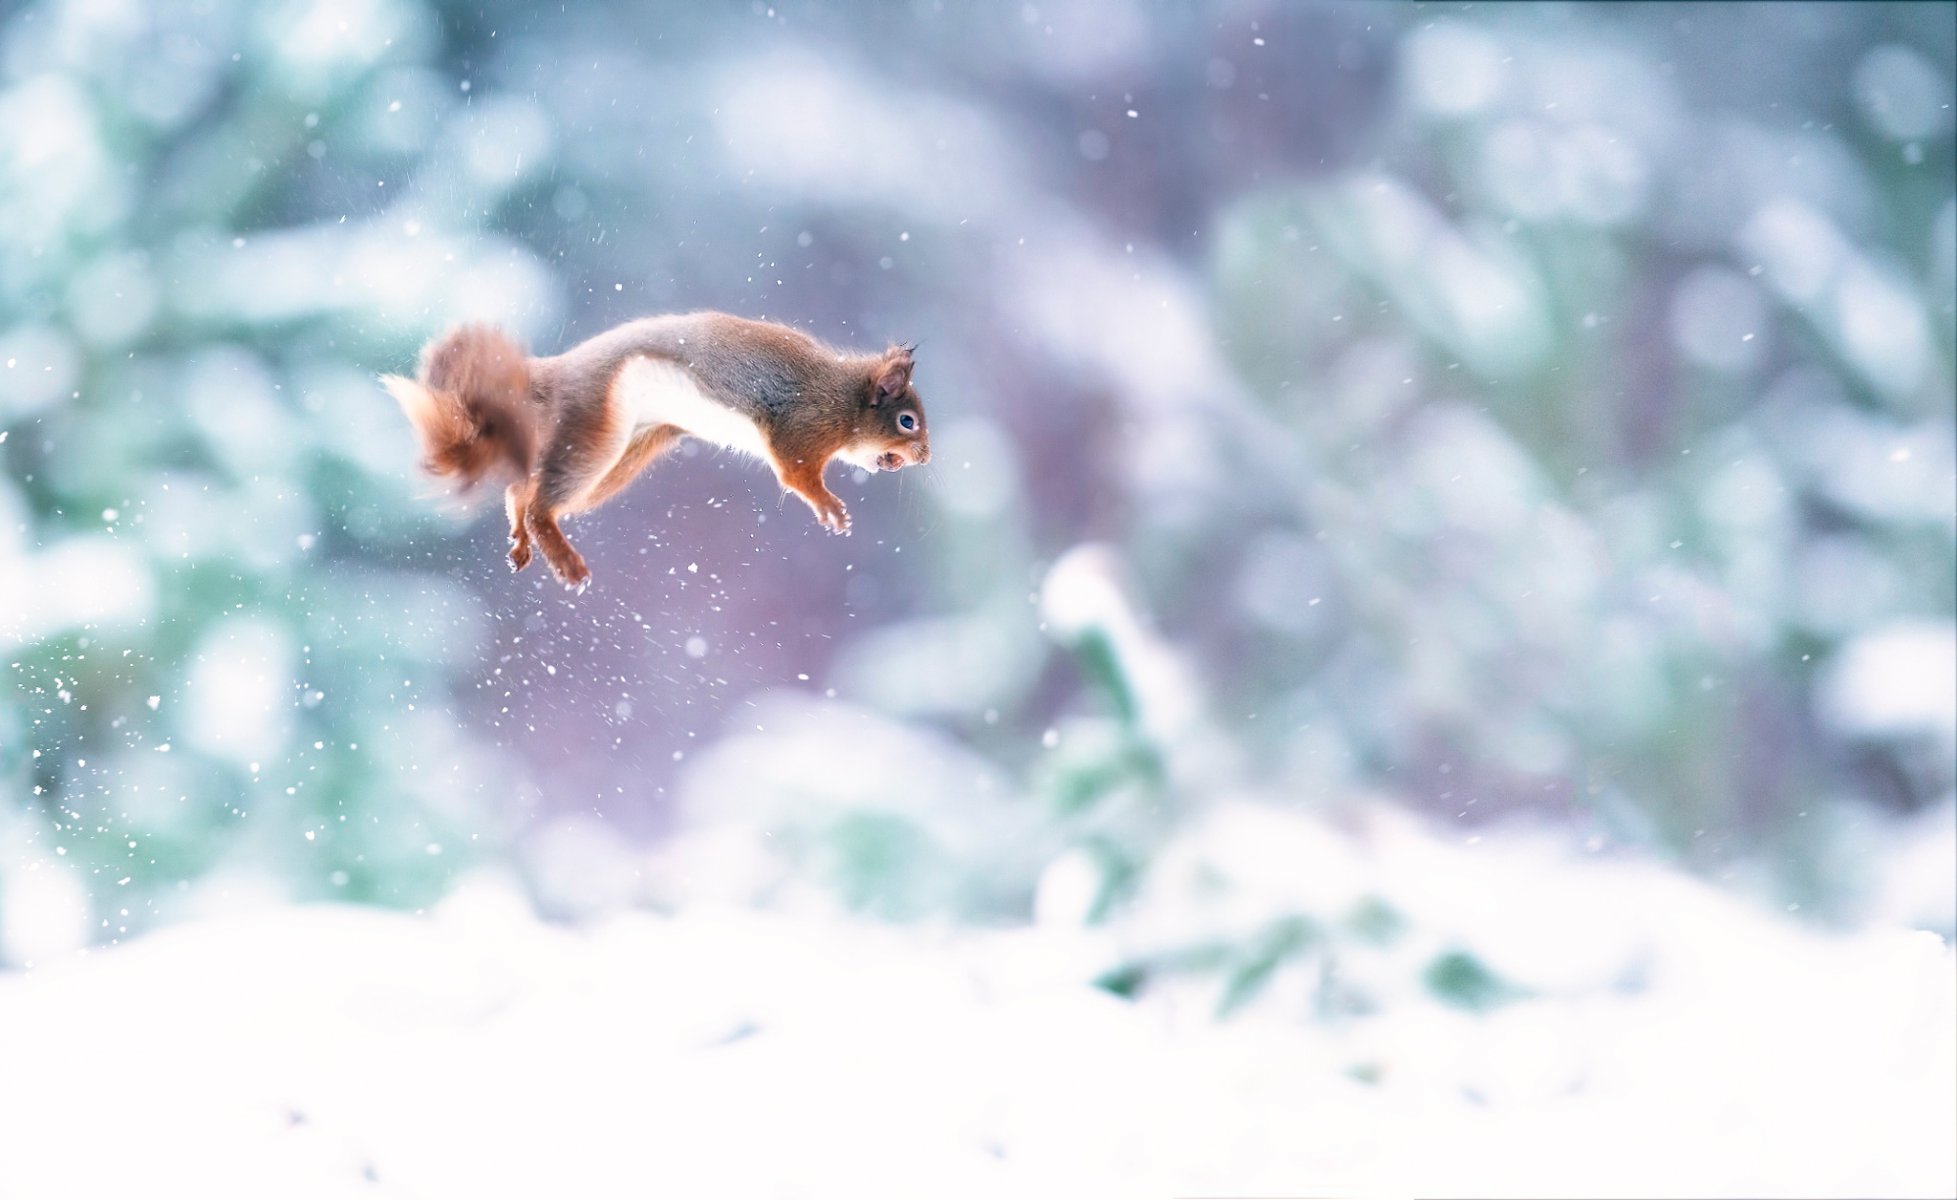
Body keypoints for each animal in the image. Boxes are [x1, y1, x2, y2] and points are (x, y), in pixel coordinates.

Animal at [387, 311, 931, 587]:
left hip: (628, 453)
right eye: (907, 422)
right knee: (542, 503)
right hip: (598, 433)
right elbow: (796, 476)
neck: (844, 399)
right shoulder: (800, 430)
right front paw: (830, 508)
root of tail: (557, 374)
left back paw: (521, 537)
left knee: (523, 489)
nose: (926, 457)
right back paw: (563, 559)